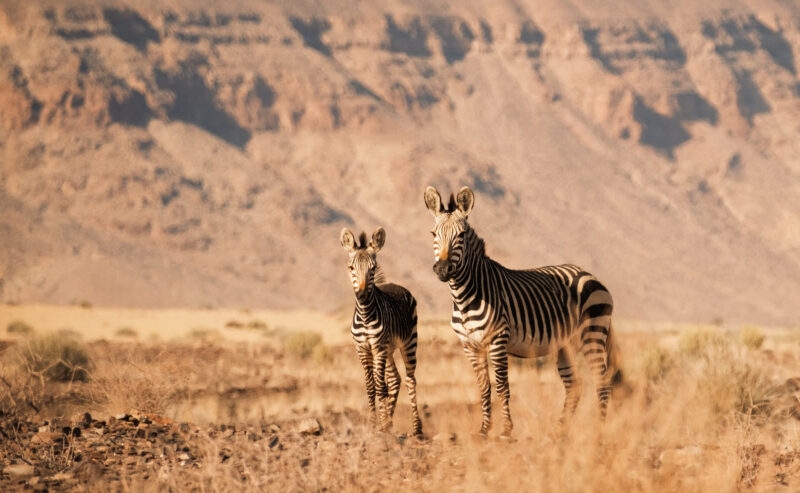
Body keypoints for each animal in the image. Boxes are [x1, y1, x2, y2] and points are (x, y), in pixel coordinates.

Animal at [340, 227, 423, 436]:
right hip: (390, 349)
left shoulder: (378, 348)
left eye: (373, 268)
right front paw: (374, 425)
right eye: (351, 268)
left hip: (408, 343)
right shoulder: (362, 349)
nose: (362, 295)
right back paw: (389, 423)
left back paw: (417, 428)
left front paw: (382, 426)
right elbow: (371, 387)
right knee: (395, 379)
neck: (365, 315)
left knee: (410, 379)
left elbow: (379, 386)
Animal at [423, 186, 620, 437]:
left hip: (592, 333)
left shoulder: (498, 339)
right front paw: (484, 429)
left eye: (462, 235)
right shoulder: (470, 346)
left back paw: (599, 432)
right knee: (575, 385)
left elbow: (502, 385)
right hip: (567, 344)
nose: (443, 269)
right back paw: (559, 431)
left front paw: (506, 430)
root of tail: (590, 274)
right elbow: (484, 387)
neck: (464, 296)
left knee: (602, 380)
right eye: (433, 234)